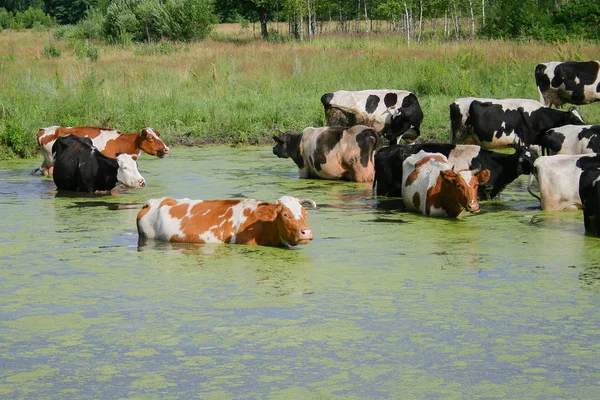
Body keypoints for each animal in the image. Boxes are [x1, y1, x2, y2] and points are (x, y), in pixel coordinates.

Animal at [450, 97, 584, 149]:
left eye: (581, 118)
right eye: (575, 120)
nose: (585, 128)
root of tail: (456, 101)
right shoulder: (525, 143)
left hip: (471, 139)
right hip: (459, 135)